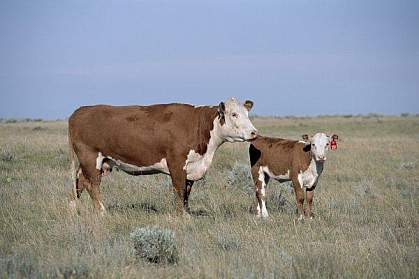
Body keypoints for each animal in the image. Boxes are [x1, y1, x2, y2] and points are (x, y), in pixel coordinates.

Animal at [68, 98, 260, 217]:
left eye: (247, 114)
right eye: (234, 114)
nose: (254, 132)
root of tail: (79, 111)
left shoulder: (191, 167)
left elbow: (187, 192)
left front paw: (187, 212)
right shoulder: (176, 162)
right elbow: (179, 189)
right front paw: (182, 216)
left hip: (97, 162)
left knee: (80, 182)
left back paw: (74, 208)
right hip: (90, 157)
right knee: (92, 185)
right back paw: (102, 212)